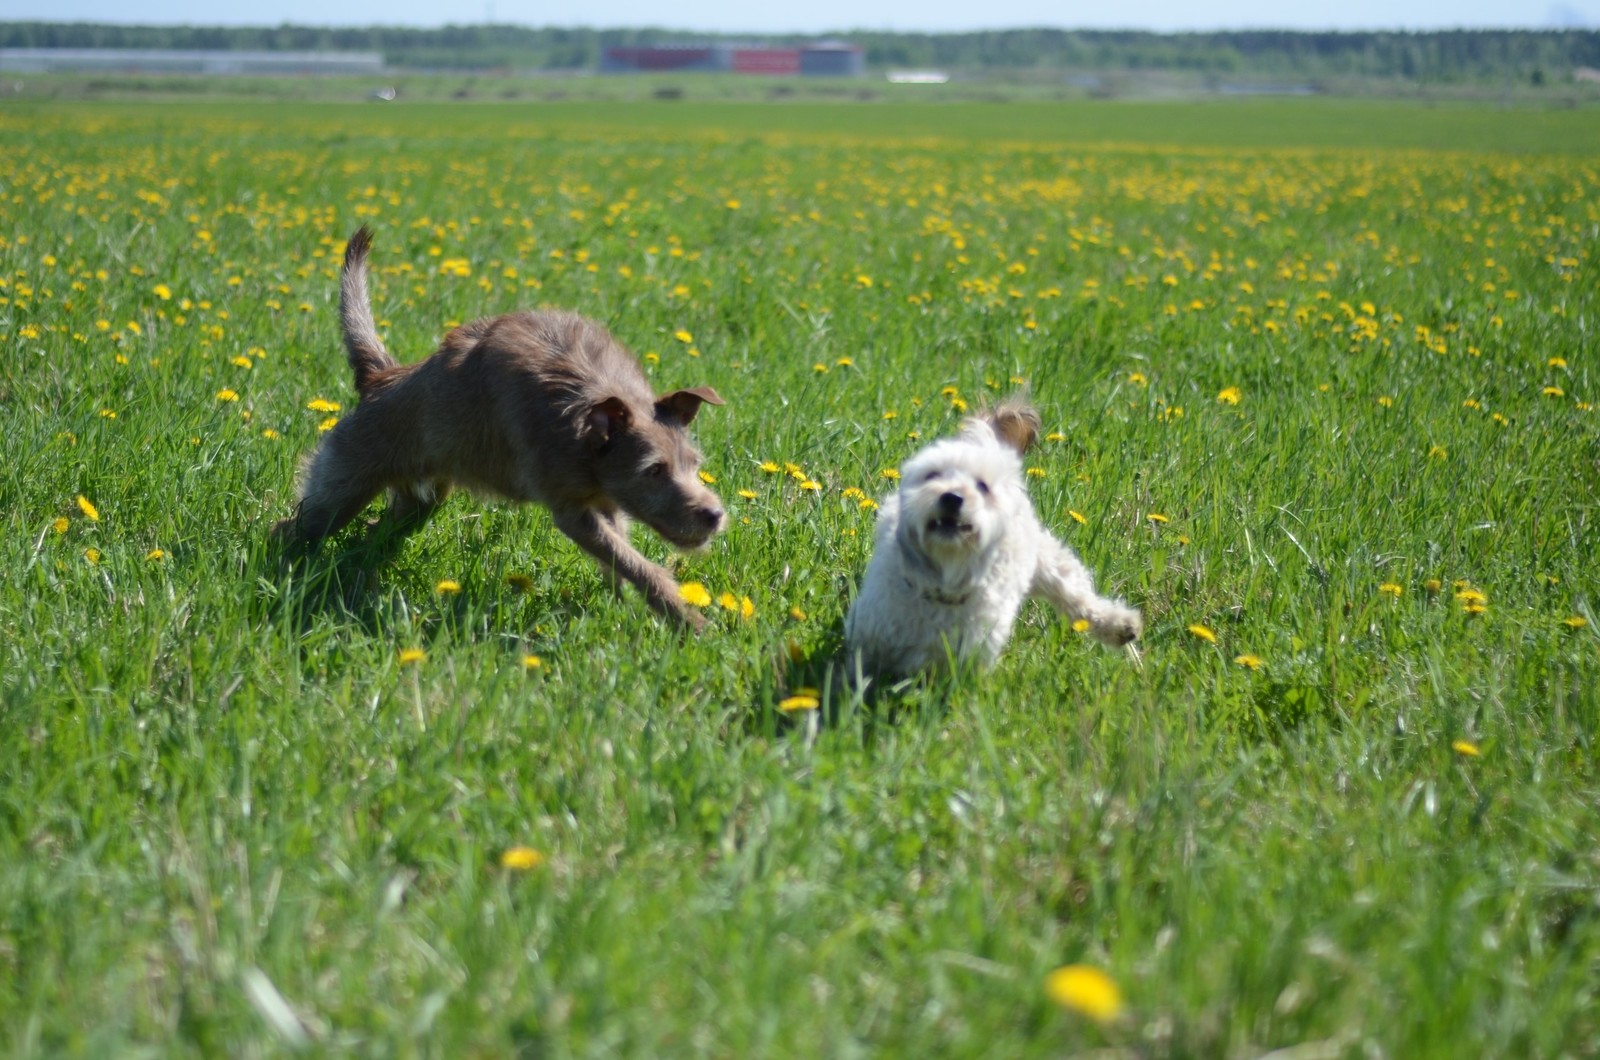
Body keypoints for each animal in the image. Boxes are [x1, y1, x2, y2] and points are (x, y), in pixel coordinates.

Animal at [275, 228, 726, 630]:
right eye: (653, 470)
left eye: (694, 464)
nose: (714, 514)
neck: (584, 409)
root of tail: (381, 378)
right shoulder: (573, 511)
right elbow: (635, 562)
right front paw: (686, 620)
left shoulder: (606, 503)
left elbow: (620, 556)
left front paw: (622, 605)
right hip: (340, 490)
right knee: (292, 528)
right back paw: (287, 572)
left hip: (422, 500)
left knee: (379, 530)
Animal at [844, 398, 1145, 682]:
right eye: (932, 475)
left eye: (982, 486)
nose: (952, 497)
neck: (945, 581)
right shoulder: (869, 636)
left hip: (1047, 562)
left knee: (1076, 597)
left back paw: (1119, 626)